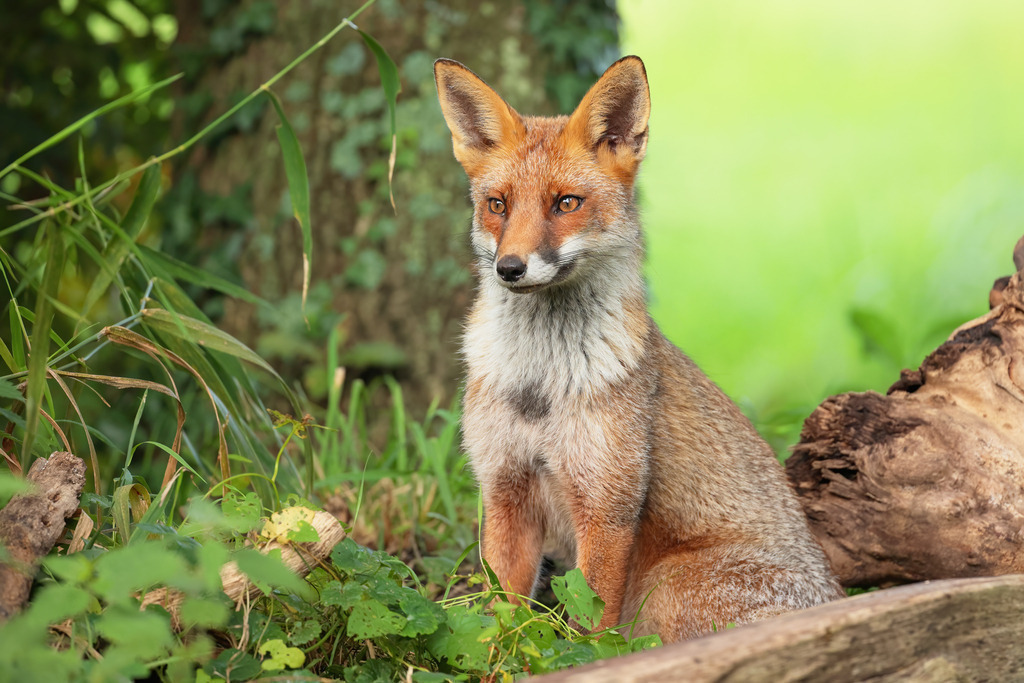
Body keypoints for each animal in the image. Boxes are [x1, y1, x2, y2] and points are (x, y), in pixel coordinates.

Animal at [433, 55, 843, 643]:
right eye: (498, 205)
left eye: (565, 203)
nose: (509, 267)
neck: (539, 384)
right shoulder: (505, 489)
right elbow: (504, 622)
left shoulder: (608, 506)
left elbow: (588, 629)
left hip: (665, 585)